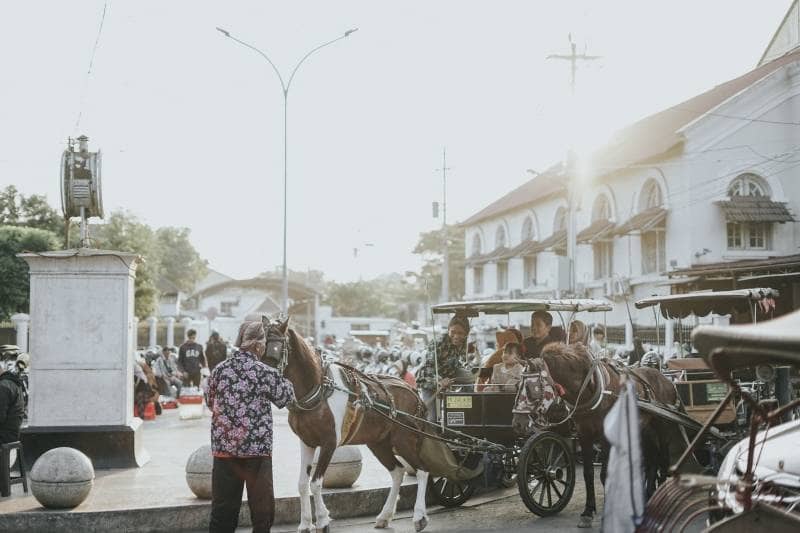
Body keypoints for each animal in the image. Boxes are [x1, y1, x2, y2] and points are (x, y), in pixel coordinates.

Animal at [260, 318, 434, 532]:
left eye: (276, 349)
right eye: (260, 347)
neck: (318, 389)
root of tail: (412, 390)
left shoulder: (329, 442)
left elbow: (316, 483)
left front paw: (323, 520)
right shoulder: (307, 442)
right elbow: (302, 483)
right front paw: (305, 523)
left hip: (404, 438)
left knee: (422, 470)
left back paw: (419, 516)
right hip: (378, 442)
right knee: (398, 471)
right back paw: (385, 516)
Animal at [512, 340, 680, 528]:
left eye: (531, 388)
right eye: (517, 386)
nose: (517, 423)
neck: (588, 388)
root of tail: (666, 379)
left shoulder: (605, 435)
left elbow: (605, 474)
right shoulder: (584, 434)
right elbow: (588, 474)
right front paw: (588, 511)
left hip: (662, 427)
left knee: (663, 460)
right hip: (645, 428)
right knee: (652, 459)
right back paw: (649, 495)